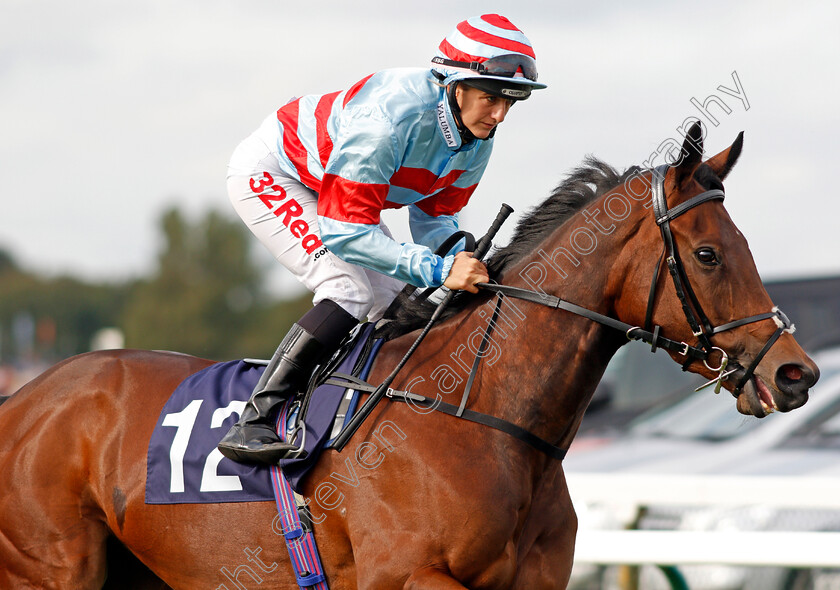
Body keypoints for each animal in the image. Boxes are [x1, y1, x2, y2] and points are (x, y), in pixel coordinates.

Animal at [0, 122, 820, 588]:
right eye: (709, 253)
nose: (796, 372)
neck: (478, 417)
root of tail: (28, 397)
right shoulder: (408, 576)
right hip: (50, 567)